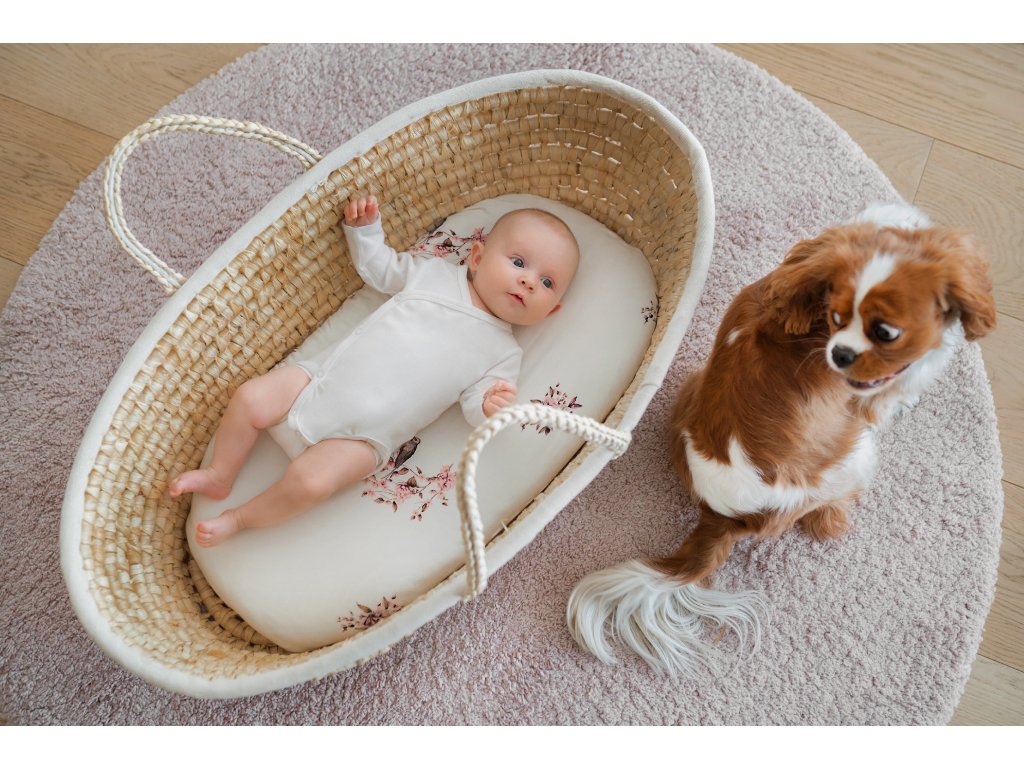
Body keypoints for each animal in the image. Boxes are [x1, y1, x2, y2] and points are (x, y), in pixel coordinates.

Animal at [566, 202, 997, 675]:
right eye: (837, 317)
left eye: (883, 331)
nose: (840, 355)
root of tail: (723, 516)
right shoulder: (870, 399)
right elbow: (893, 397)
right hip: (853, 457)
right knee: (827, 515)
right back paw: (838, 515)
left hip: (691, 387)